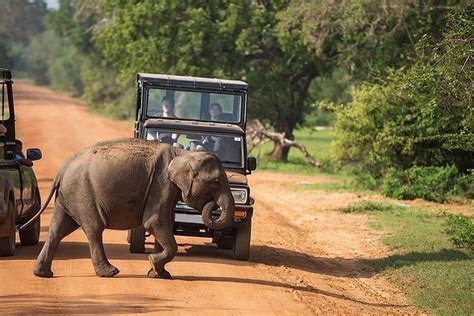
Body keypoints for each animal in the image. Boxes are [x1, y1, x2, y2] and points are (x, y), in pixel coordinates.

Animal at [24, 139, 235, 278]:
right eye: (217, 181)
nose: (213, 205)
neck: (182, 154)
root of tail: (61, 169)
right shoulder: (161, 184)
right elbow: (153, 222)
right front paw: (154, 265)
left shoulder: (167, 190)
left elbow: (164, 222)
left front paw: (159, 273)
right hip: (82, 193)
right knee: (94, 228)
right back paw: (110, 272)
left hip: (67, 197)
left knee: (57, 230)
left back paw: (42, 274)